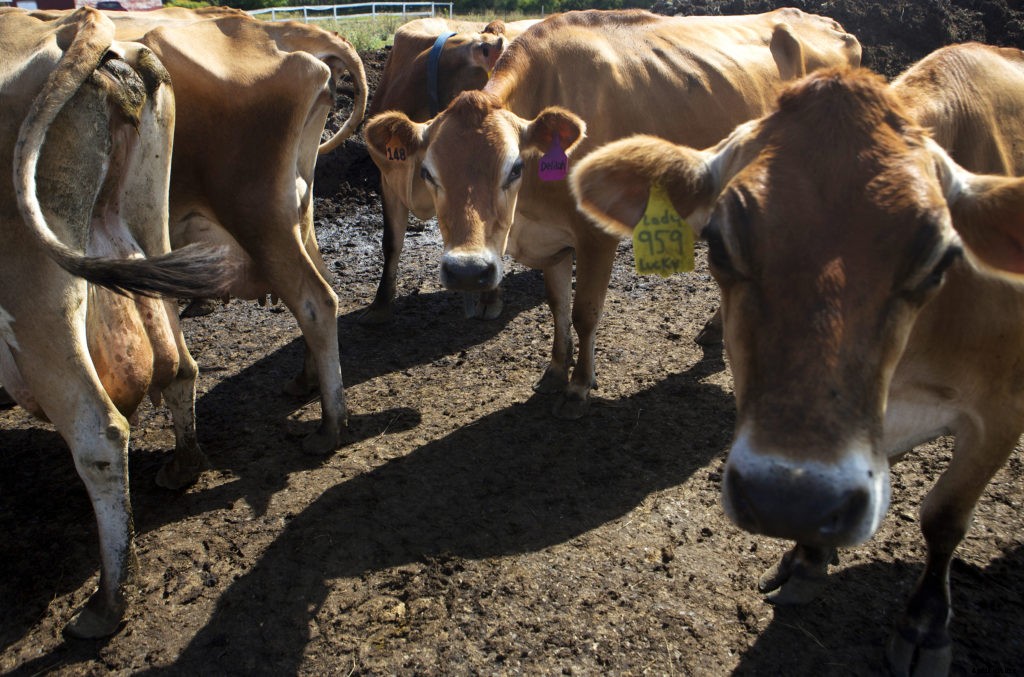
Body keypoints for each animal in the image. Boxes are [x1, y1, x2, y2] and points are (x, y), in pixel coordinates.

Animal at [1, 7, 235, 637]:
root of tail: (72, 24)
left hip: (35, 298)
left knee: (100, 434)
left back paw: (106, 603)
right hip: (148, 220)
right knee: (180, 364)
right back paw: (183, 465)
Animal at [31, 6, 370, 456]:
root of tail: (280, 32)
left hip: (258, 214)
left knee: (316, 302)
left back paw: (331, 424)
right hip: (296, 210)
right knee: (324, 283)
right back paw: (305, 381)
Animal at [570, 43, 1024, 675]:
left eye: (940, 257)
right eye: (718, 243)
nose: (792, 498)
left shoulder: (1002, 411)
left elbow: (945, 517)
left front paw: (925, 625)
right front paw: (807, 557)